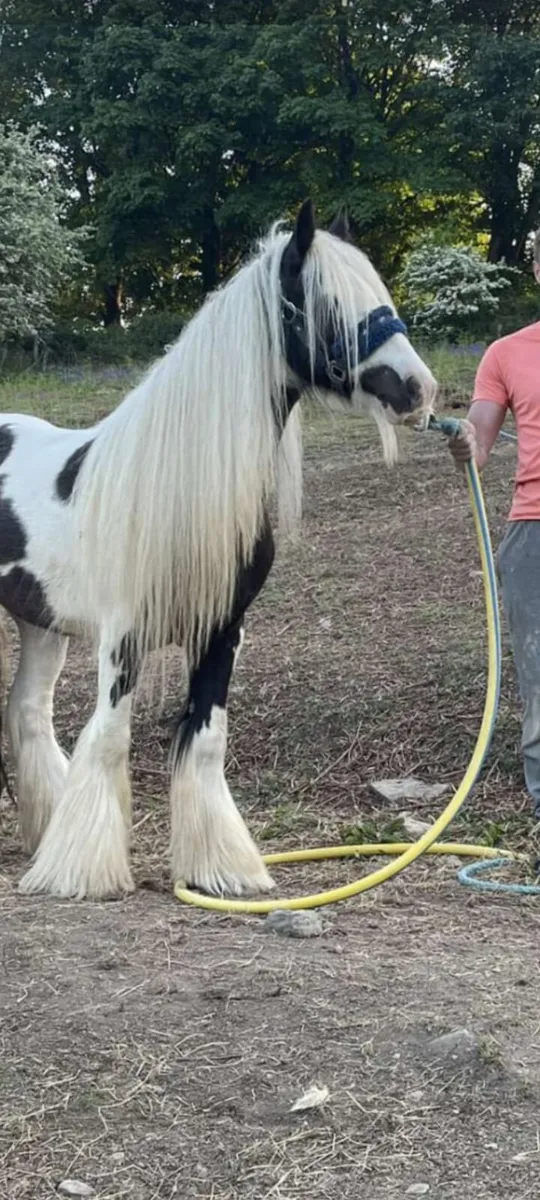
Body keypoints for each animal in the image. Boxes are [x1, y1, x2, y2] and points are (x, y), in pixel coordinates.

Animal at [0, 199, 435, 900]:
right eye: (325, 306)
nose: (418, 390)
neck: (179, 483)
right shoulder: (123, 635)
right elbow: (110, 736)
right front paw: (84, 875)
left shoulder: (223, 629)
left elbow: (205, 741)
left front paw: (221, 870)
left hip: (40, 624)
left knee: (30, 712)